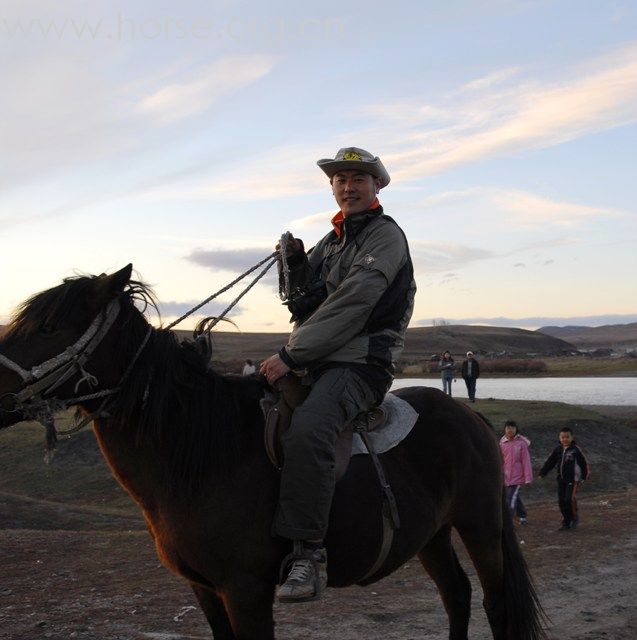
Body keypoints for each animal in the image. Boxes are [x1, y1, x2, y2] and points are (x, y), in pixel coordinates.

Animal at [1, 264, 548, 640]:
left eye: (48, 327)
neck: (200, 455)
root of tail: (469, 417)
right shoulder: (205, 589)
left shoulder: (245, 590)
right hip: (430, 533)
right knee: (457, 595)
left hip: (479, 525)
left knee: (496, 604)